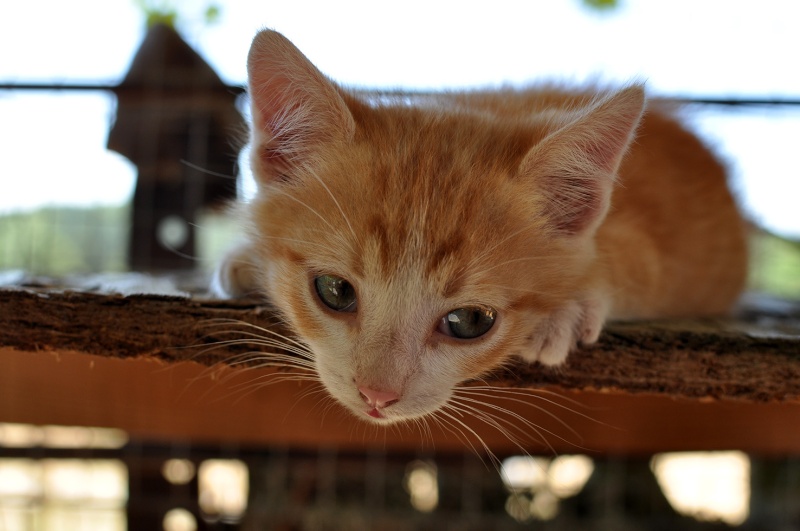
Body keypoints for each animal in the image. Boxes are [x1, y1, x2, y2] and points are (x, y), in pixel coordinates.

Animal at [214, 31, 752, 424]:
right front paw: (246, 257)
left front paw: (569, 305)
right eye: (334, 290)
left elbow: (632, 258)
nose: (376, 395)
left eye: (469, 322)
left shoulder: (656, 247)